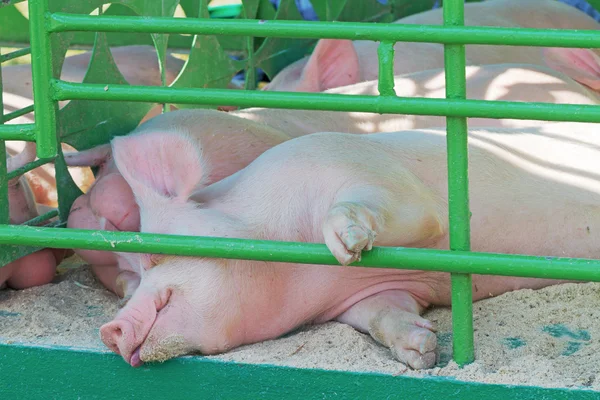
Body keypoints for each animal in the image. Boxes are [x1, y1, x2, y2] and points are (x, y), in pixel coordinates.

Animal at [98, 120, 596, 370]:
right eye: (132, 280)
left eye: (154, 255)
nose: (109, 330)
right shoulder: (374, 294)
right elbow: (380, 316)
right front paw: (422, 352)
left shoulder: (373, 175)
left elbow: (391, 208)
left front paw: (347, 244)